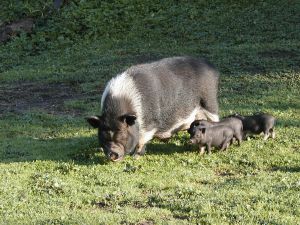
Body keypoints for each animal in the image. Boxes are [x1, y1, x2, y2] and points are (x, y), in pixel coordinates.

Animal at [85, 56, 219, 162]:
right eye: (103, 135)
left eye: (123, 134)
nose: (113, 154)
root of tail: (211, 67)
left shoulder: (149, 124)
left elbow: (141, 141)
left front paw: (136, 157)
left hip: (209, 101)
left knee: (215, 118)